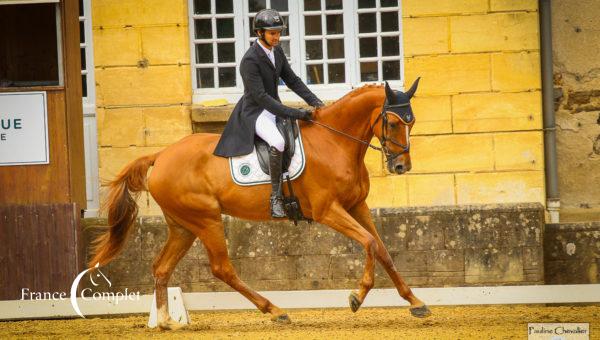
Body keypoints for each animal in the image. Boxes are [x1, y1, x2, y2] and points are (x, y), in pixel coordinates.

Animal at [89, 79, 428, 330]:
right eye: (393, 123)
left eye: (411, 123)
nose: (402, 167)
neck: (335, 143)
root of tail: (160, 155)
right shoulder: (328, 211)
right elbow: (369, 242)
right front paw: (357, 297)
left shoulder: (357, 206)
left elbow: (382, 249)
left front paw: (415, 302)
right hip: (206, 220)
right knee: (222, 268)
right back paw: (275, 310)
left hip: (183, 226)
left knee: (161, 268)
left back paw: (166, 322)